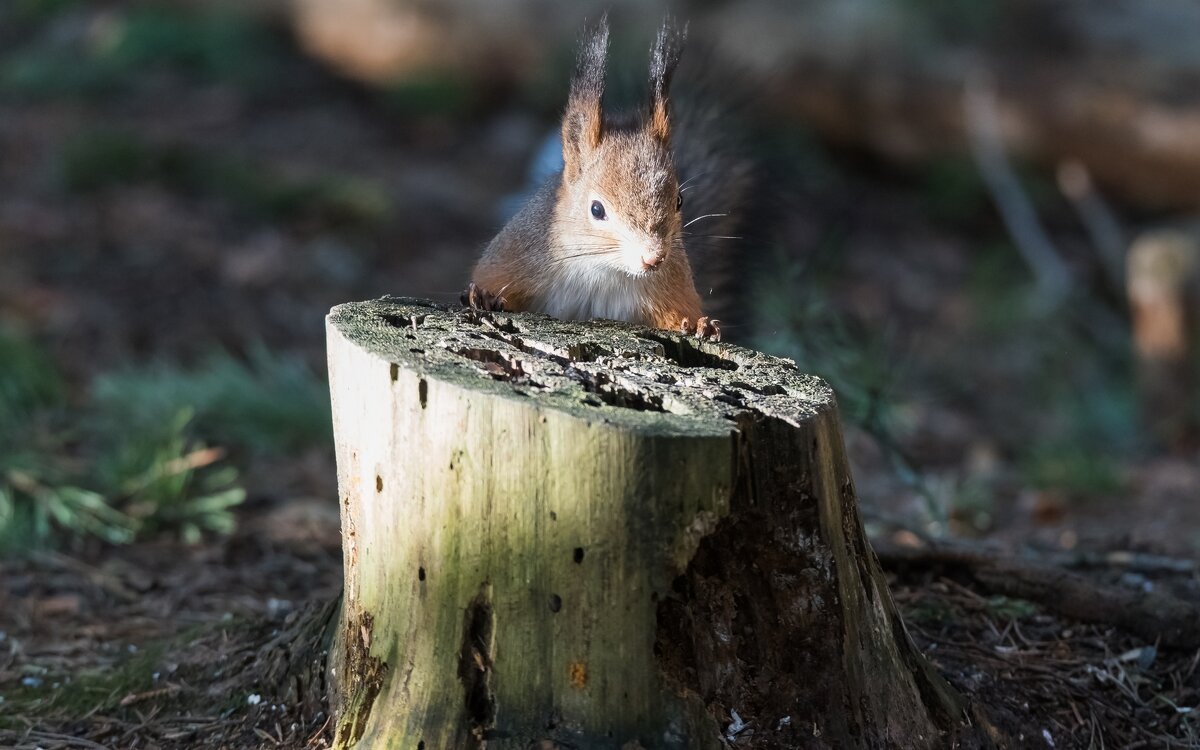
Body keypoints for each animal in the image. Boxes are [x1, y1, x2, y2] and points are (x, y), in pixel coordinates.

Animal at [460, 14, 739, 338]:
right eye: (596, 209)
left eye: (679, 200)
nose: (653, 258)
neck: (605, 270)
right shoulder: (516, 254)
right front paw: (483, 296)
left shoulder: (672, 288)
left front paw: (700, 325)